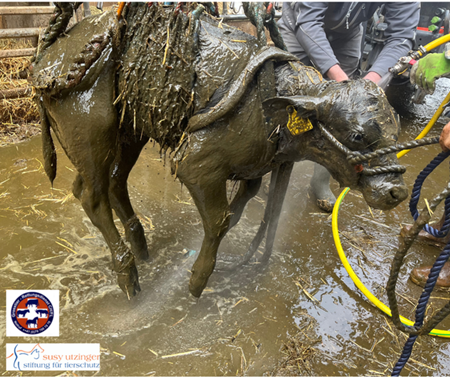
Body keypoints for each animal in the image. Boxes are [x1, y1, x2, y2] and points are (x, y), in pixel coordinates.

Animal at [29, 2, 410, 296]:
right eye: (357, 135)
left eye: (394, 127)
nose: (397, 192)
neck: (272, 100)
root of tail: (47, 58)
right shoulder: (196, 165)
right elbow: (220, 219)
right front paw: (198, 280)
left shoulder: (254, 169)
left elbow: (238, 211)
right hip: (91, 135)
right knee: (91, 195)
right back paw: (128, 274)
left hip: (130, 131)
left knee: (111, 181)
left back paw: (141, 246)